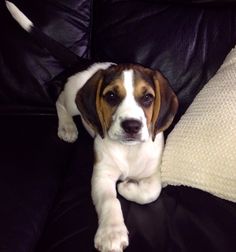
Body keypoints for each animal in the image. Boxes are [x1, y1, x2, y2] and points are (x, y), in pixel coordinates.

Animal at [56, 61, 178, 252]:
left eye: (147, 98)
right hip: (71, 99)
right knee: (59, 101)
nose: (132, 126)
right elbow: (110, 201)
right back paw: (67, 127)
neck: (129, 150)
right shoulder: (102, 176)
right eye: (111, 96)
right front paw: (111, 233)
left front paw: (127, 187)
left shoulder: (153, 174)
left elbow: (152, 192)